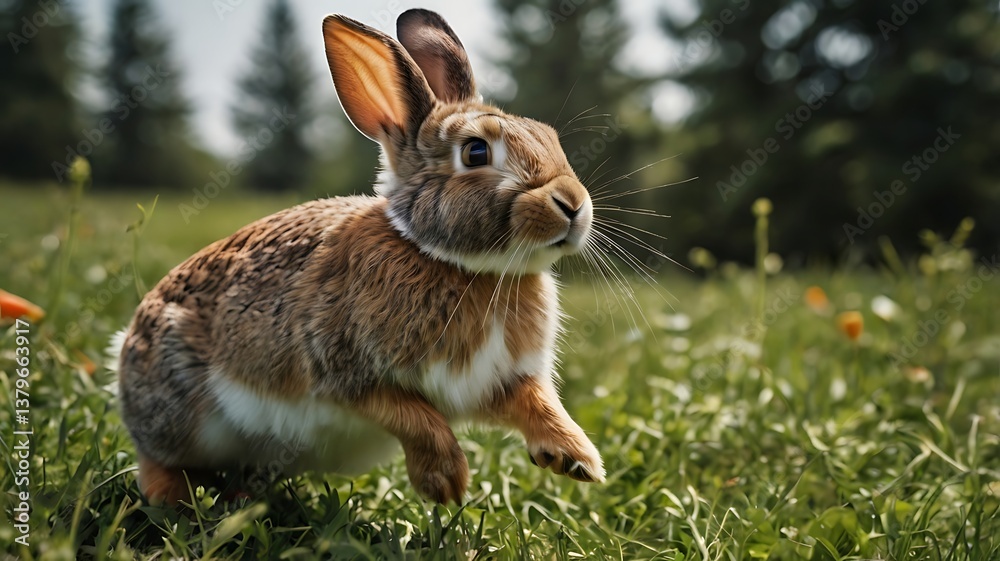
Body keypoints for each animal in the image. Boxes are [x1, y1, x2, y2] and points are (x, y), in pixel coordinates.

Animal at [118, 8, 604, 506]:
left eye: (549, 136)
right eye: (475, 151)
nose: (573, 204)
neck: (459, 264)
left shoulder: (500, 381)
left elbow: (535, 402)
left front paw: (576, 458)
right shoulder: (345, 372)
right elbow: (414, 417)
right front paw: (446, 481)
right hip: (181, 408)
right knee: (153, 454)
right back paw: (173, 496)